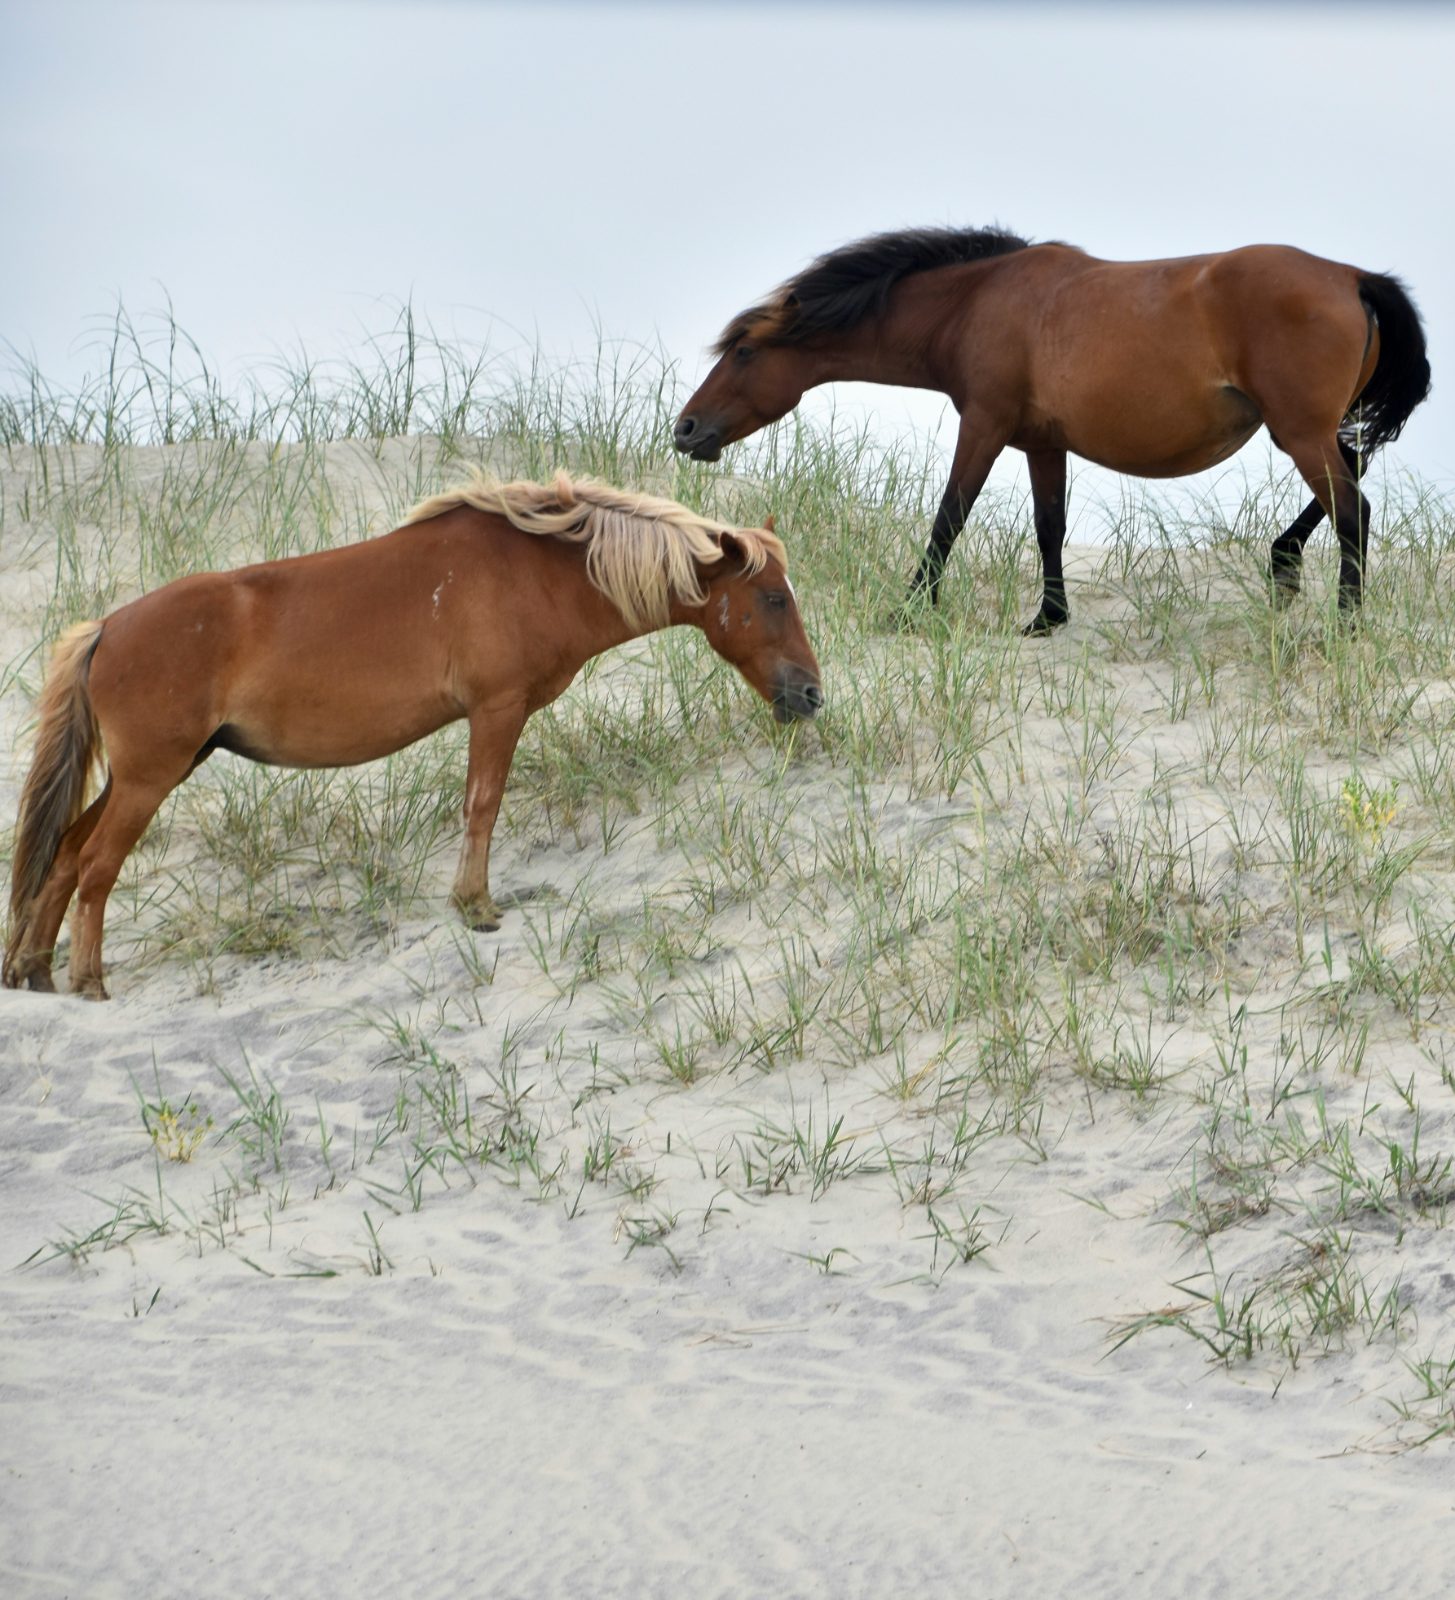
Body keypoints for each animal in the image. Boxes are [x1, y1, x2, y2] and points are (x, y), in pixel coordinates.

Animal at [3, 471, 823, 999]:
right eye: (773, 598)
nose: (811, 695)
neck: (539, 570)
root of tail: (108, 628)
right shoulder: (497, 711)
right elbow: (483, 806)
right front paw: (476, 906)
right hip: (150, 779)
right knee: (96, 866)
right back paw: (87, 979)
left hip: (144, 776)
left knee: (66, 855)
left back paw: (35, 969)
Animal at [673, 226, 1431, 633]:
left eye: (744, 353)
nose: (685, 430)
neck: (977, 302)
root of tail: (1351, 277)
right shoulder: (1043, 444)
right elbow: (1049, 527)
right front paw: (1048, 618)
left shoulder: (983, 426)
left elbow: (948, 517)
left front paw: (909, 610)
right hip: (1306, 431)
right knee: (1350, 483)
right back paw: (1283, 565)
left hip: (1299, 432)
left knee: (1353, 510)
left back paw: (1342, 621)